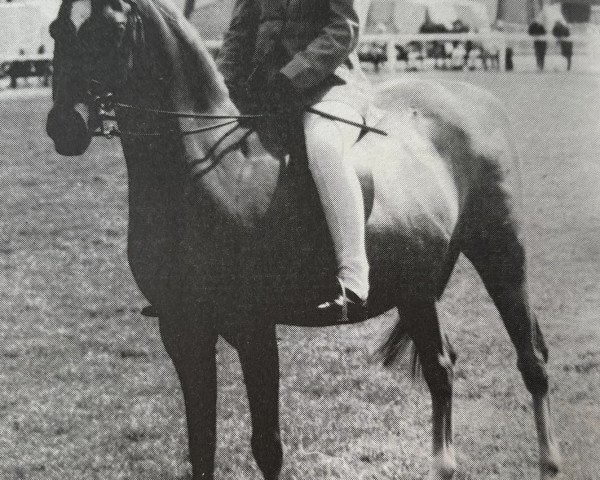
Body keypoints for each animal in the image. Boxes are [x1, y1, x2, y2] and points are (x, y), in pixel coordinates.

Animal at [44, 0, 560, 480]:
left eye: (109, 29)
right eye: (55, 29)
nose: (64, 127)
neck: (212, 171)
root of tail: (477, 98)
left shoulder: (253, 327)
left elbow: (267, 446)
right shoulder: (182, 329)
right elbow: (201, 443)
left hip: (500, 252)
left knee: (527, 359)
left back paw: (548, 460)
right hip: (416, 289)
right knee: (441, 367)